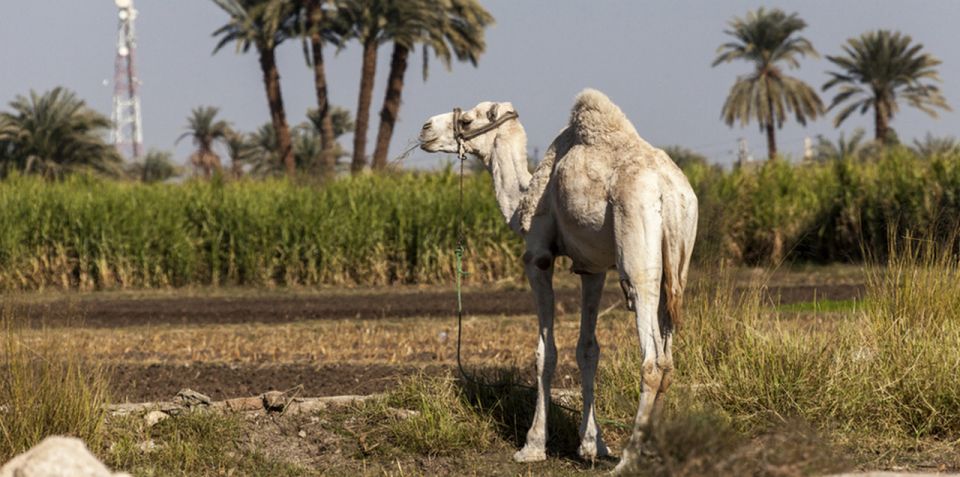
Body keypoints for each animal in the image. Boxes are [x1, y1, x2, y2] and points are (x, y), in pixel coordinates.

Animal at [420, 89, 696, 472]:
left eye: (466, 120)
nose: (426, 129)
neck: (523, 196)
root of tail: (669, 192)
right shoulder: (592, 268)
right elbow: (588, 349)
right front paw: (592, 445)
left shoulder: (538, 257)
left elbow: (545, 353)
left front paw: (532, 446)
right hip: (679, 260)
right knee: (668, 358)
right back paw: (651, 449)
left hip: (638, 254)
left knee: (652, 359)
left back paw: (629, 459)